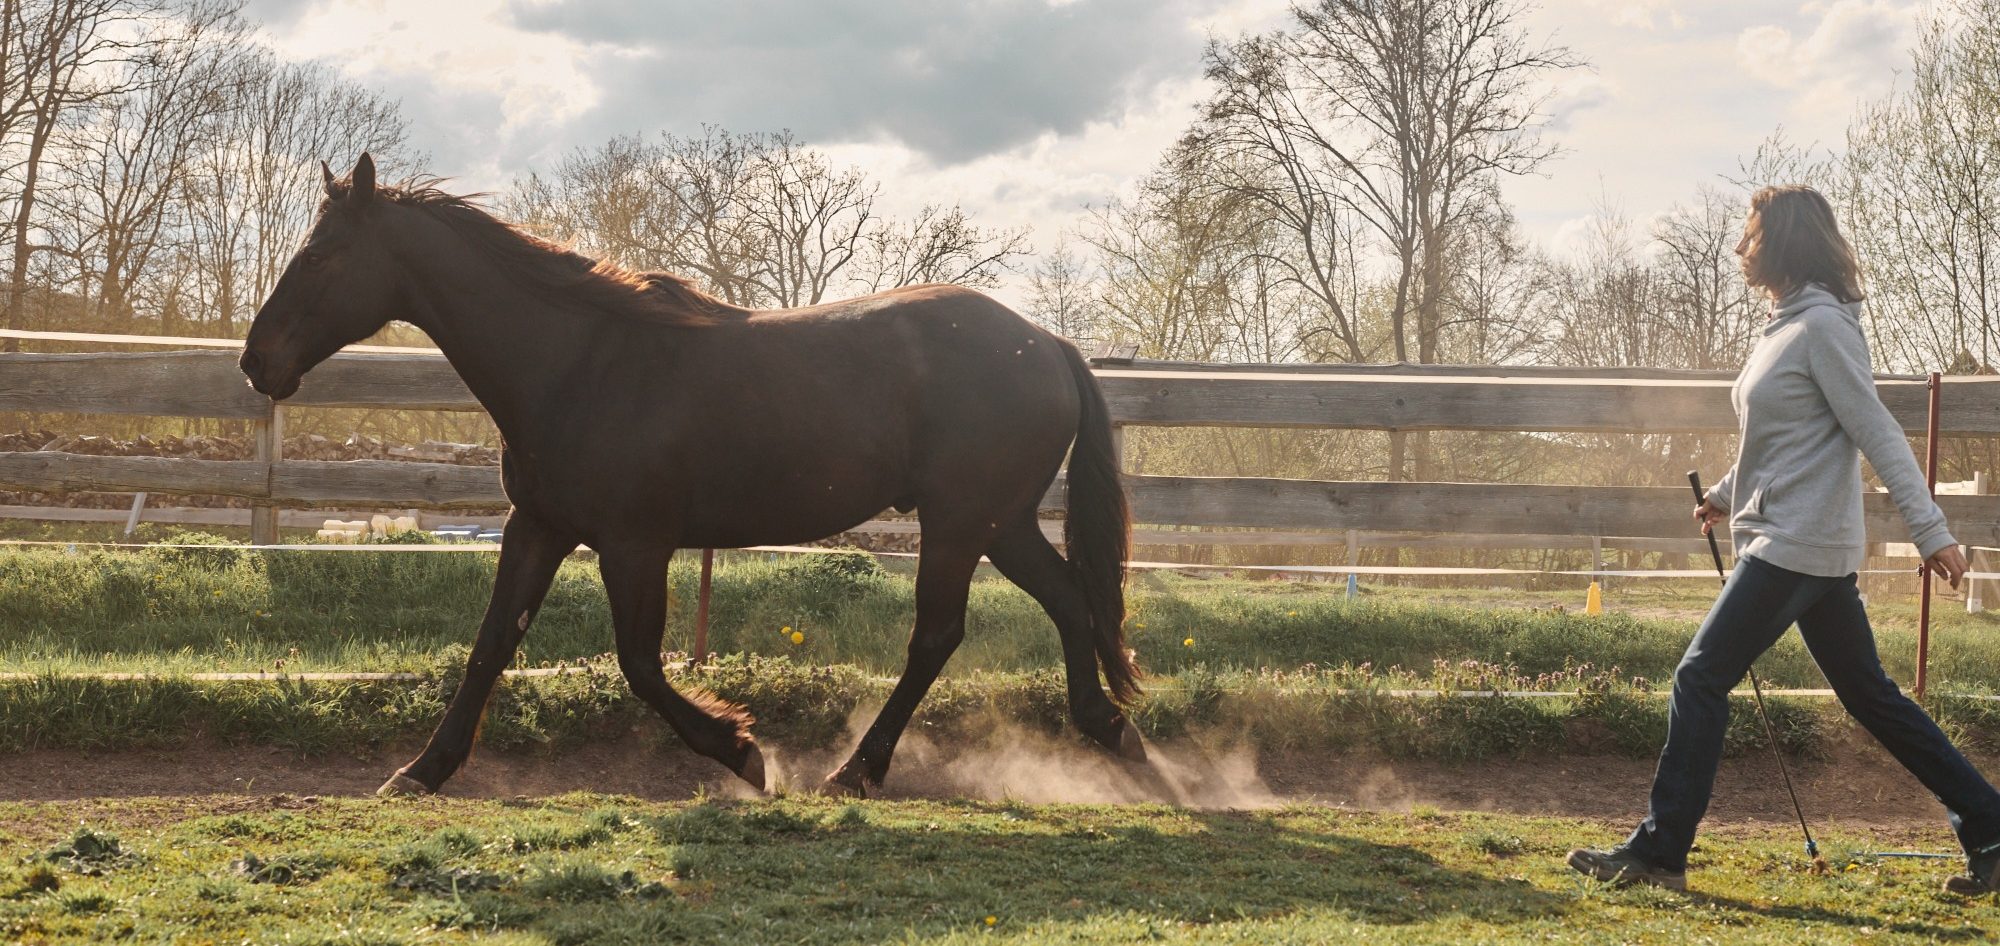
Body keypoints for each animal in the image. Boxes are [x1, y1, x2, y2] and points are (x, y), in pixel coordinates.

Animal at [239, 154, 1145, 797]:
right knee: (1070, 602)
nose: (256, 361)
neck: (578, 363)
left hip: (959, 524)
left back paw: (856, 770)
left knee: (937, 634)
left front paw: (742, 752)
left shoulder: (635, 543)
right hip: (1002, 523)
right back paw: (1112, 730)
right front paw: (420, 772)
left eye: (323, 254)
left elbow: (639, 663)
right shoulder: (539, 525)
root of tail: (1048, 344)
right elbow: (492, 644)